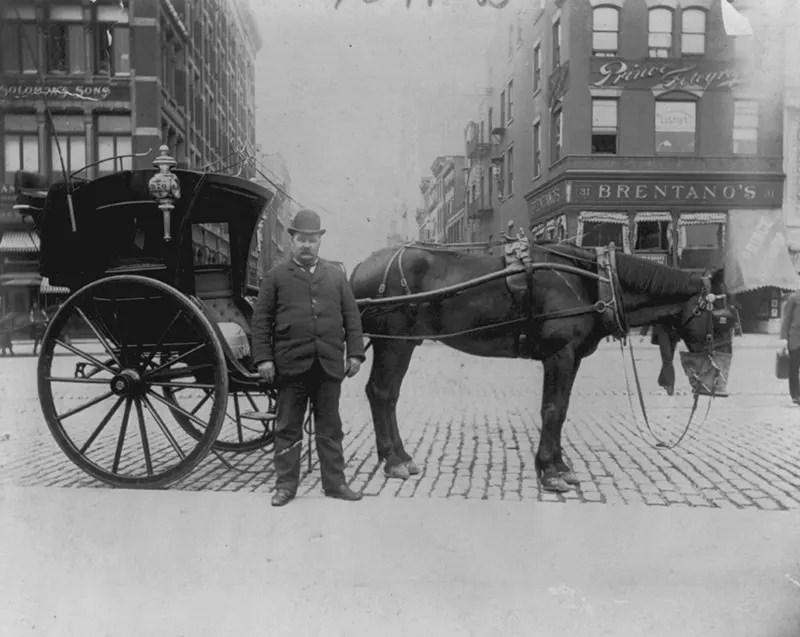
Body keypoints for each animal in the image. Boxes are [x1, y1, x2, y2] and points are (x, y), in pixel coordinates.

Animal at [350, 238, 732, 492]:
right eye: (724, 318)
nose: (719, 386)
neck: (593, 280)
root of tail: (358, 270)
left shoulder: (571, 357)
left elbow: (561, 409)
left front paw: (558, 465)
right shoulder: (559, 354)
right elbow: (552, 409)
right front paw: (550, 470)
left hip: (402, 344)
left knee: (385, 395)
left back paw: (398, 456)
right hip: (394, 343)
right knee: (382, 392)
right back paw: (395, 461)